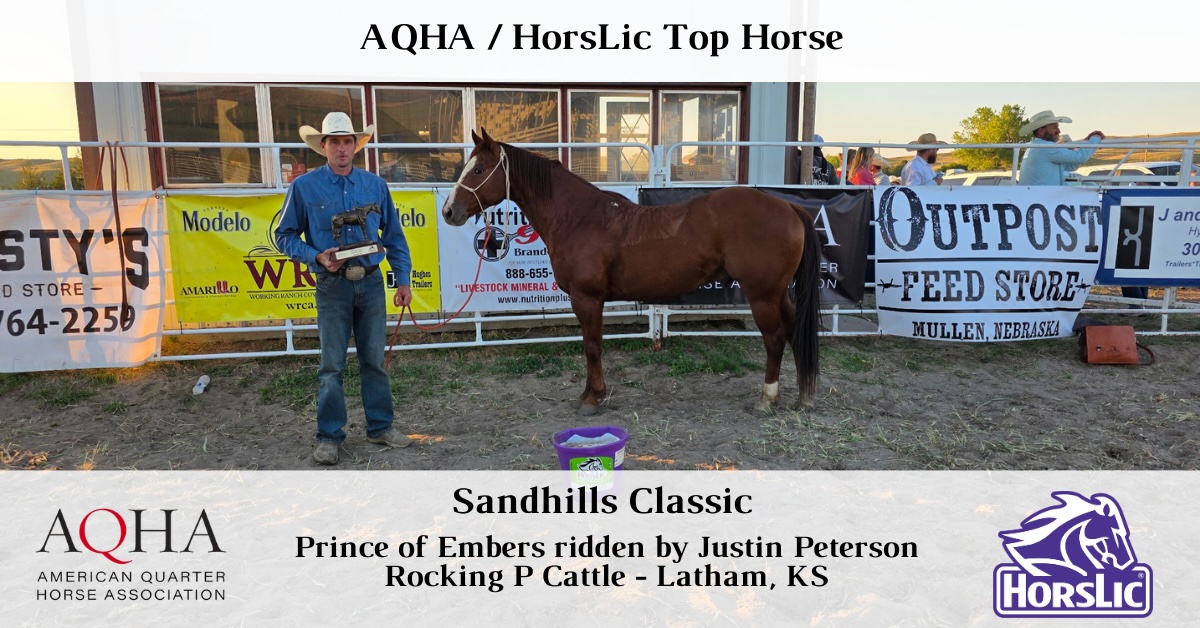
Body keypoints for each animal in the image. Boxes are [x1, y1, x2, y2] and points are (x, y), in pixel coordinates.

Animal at [441, 129, 821, 415]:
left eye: (478, 170)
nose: (448, 211)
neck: (578, 217)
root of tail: (789, 205)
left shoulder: (587, 298)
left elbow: (592, 346)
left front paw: (593, 398)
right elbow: (590, 345)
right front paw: (589, 393)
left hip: (762, 295)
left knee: (774, 338)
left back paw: (767, 399)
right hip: (777, 294)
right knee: (793, 331)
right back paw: (804, 395)